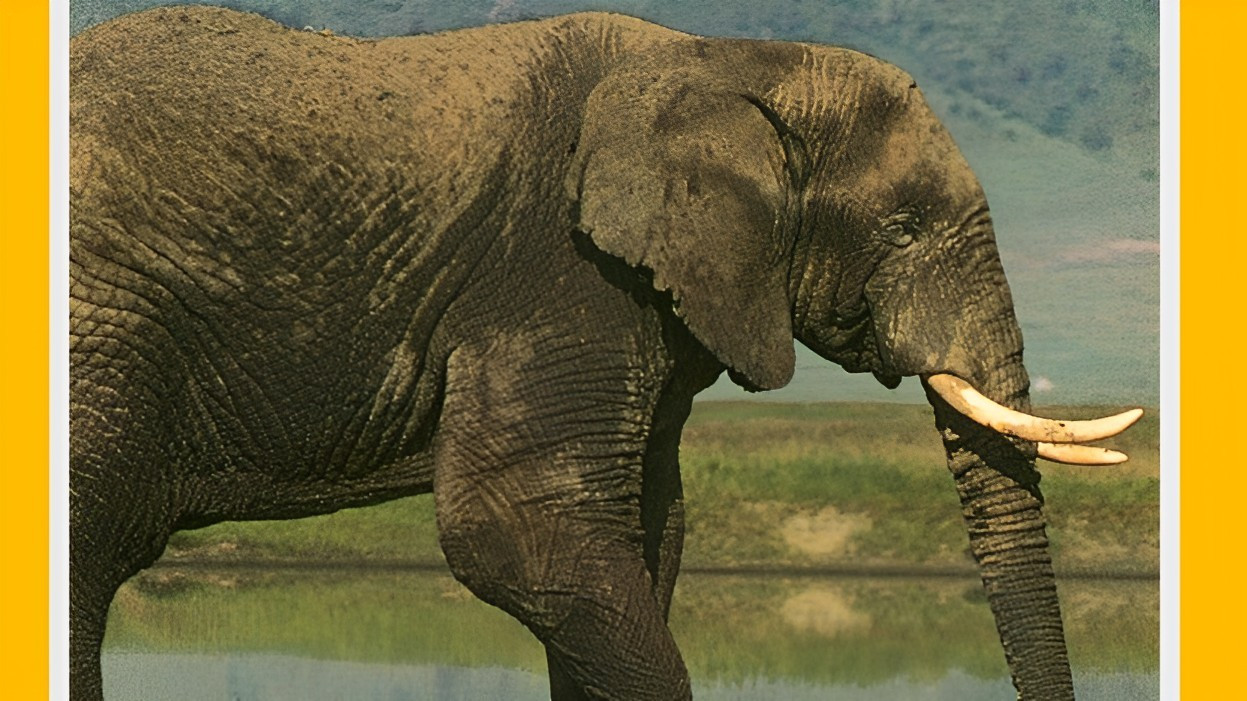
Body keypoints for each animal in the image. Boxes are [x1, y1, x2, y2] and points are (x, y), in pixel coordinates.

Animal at [69, 6, 1141, 700]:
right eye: (904, 226)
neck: (729, 61)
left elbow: (645, 534)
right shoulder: (558, 270)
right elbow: (519, 529)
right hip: (106, 326)